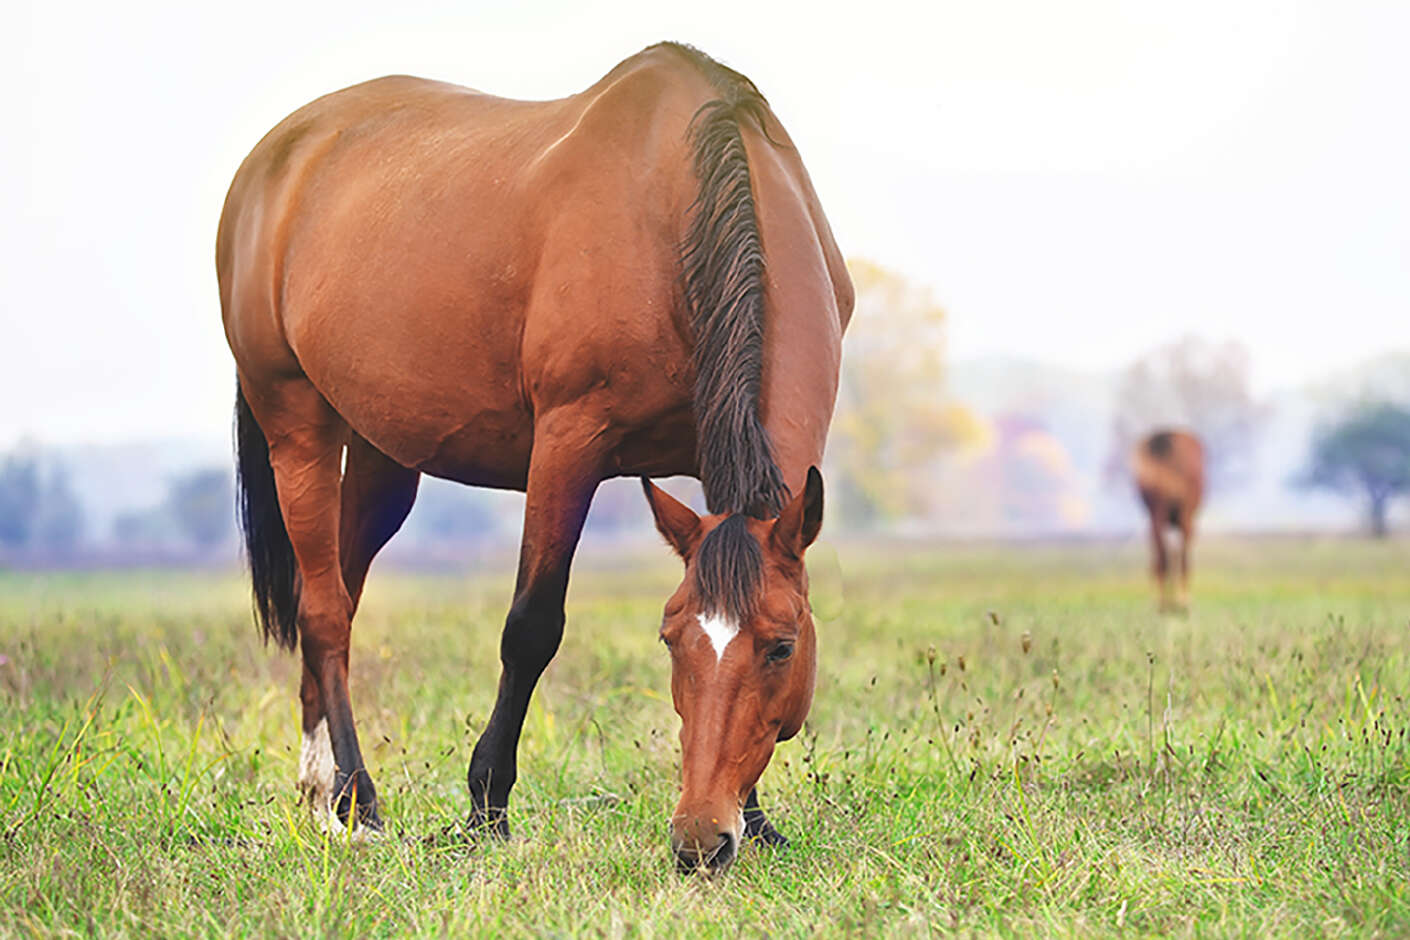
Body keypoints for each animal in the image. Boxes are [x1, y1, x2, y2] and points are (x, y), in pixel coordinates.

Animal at [216, 42, 851, 874]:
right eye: (671, 638)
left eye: (782, 646)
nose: (698, 839)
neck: (683, 203)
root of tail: (275, 157)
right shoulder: (568, 442)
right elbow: (531, 627)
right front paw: (486, 807)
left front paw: (757, 817)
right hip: (296, 422)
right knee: (321, 612)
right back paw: (357, 800)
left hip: (384, 454)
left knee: (338, 597)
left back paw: (320, 794)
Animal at [1132, 429, 1204, 611]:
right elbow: (1177, 556)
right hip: (1181, 517)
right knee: (1180, 557)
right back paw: (1180, 601)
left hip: (1158, 516)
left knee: (1163, 555)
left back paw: (1164, 602)